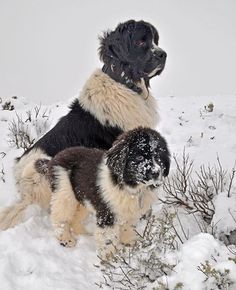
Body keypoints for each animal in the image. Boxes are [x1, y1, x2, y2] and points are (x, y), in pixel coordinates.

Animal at [36, 128, 170, 258]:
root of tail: (54, 159)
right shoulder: (107, 214)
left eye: (158, 156)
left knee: (75, 217)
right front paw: (110, 259)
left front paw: (130, 244)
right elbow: (108, 239)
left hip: (83, 197)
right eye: (140, 157)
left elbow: (128, 228)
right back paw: (66, 239)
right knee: (60, 217)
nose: (156, 172)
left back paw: (85, 234)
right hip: (64, 191)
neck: (131, 188)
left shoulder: (131, 213)